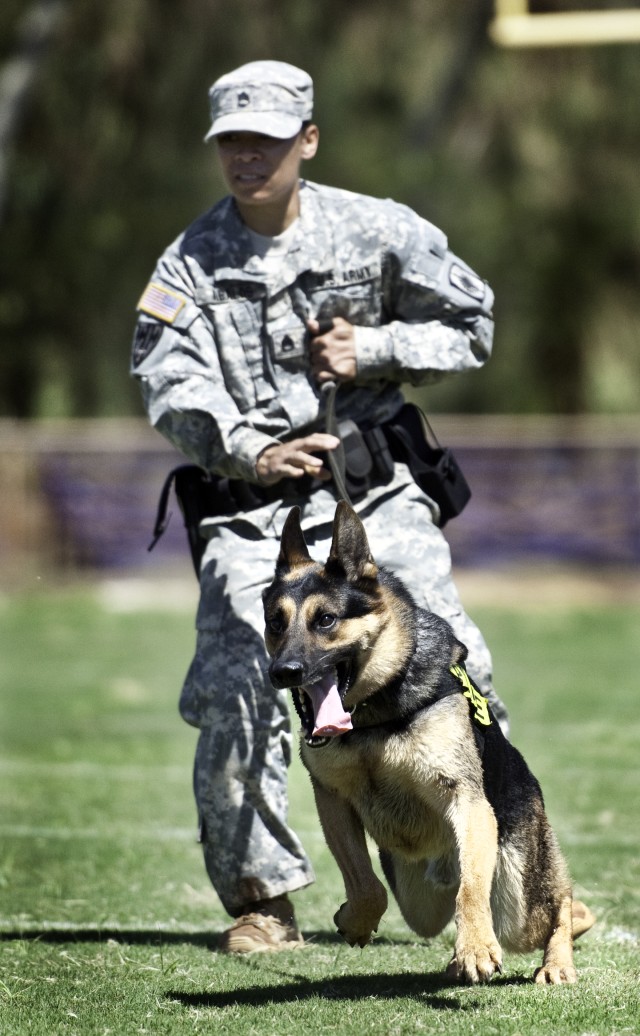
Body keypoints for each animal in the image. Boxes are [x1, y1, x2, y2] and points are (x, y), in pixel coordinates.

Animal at [262, 505, 575, 982]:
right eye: (275, 623)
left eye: (326, 620)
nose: (284, 672)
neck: (373, 716)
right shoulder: (332, 800)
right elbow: (365, 883)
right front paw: (356, 920)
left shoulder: (465, 801)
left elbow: (471, 891)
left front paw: (475, 949)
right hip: (419, 900)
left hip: (519, 903)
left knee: (564, 904)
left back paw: (557, 963)